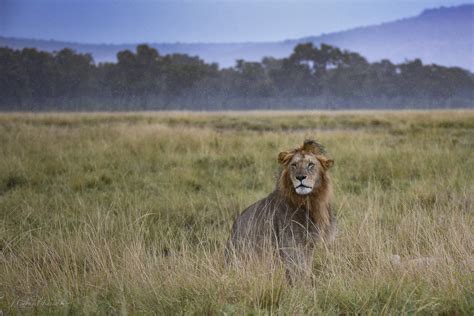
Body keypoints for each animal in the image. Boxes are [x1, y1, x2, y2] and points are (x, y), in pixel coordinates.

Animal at [227, 139, 336, 280]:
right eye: (294, 165)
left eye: (311, 165)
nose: (300, 177)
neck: (309, 202)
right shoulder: (292, 246)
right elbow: (301, 274)